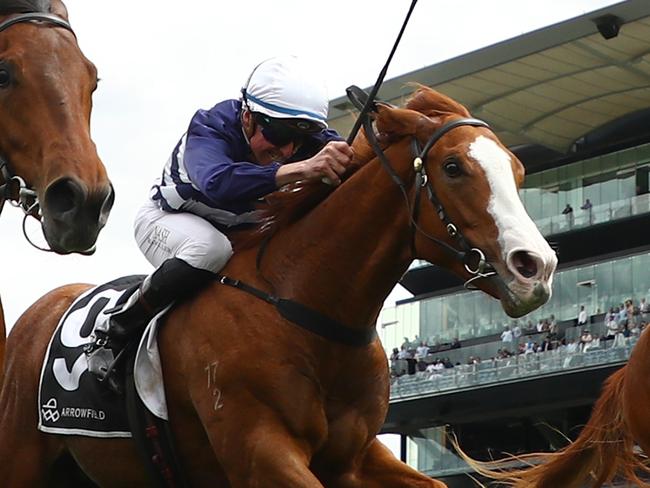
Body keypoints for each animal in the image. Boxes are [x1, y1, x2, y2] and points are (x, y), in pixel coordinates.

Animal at [0, 86, 556, 486]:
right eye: (454, 167)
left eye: (518, 170)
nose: (538, 267)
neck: (306, 308)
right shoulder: (260, 451)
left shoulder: (353, 457)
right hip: (22, 456)